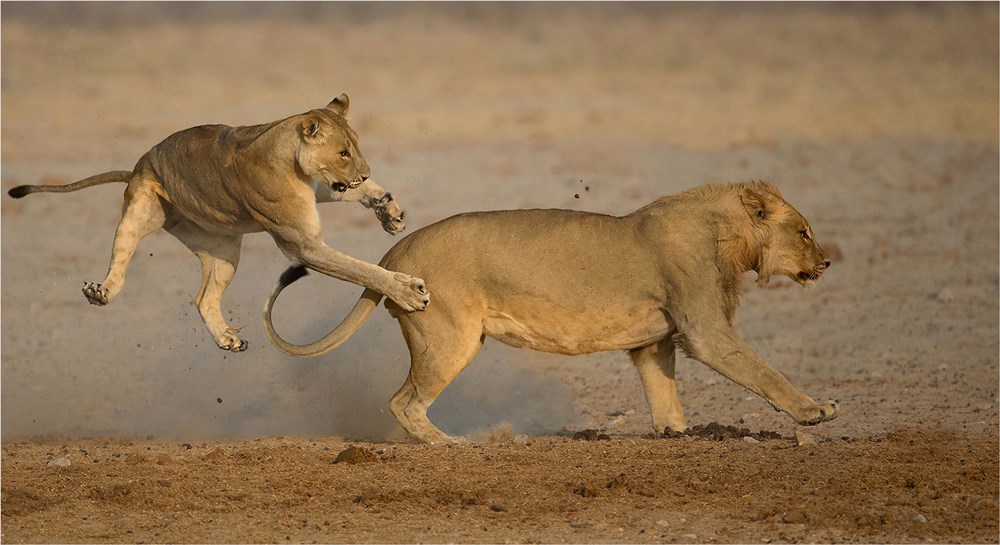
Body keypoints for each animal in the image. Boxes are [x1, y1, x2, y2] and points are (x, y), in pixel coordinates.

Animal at [7, 94, 429, 352]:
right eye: (343, 152)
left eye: (356, 145)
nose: (365, 171)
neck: (289, 159)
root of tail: (137, 166)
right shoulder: (303, 245)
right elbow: (362, 270)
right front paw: (408, 291)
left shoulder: (315, 193)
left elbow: (346, 194)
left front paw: (386, 207)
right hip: (140, 211)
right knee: (121, 260)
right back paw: (101, 292)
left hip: (224, 250)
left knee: (204, 298)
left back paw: (227, 339)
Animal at [264, 181, 838, 443]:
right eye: (804, 232)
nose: (827, 262)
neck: (728, 237)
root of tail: (394, 254)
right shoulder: (704, 329)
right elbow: (764, 373)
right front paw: (815, 410)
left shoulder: (653, 339)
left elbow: (663, 390)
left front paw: (677, 433)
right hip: (449, 339)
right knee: (403, 402)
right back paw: (449, 444)